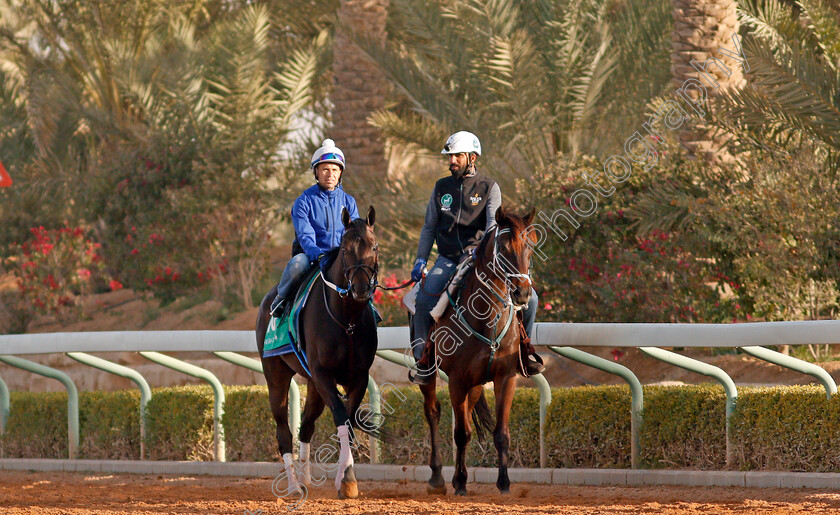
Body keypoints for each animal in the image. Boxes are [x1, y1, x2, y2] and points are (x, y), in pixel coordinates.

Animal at [253, 206, 378, 500]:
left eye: (374, 247)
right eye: (345, 248)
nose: (360, 289)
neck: (347, 322)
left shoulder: (358, 377)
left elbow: (348, 421)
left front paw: (346, 479)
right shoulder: (323, 375)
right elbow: (341, 417)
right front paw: (347, 478)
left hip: (312, 385)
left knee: (306, 427)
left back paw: (305, 478)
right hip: (275, 375)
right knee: (283, 431)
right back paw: (293, 485)